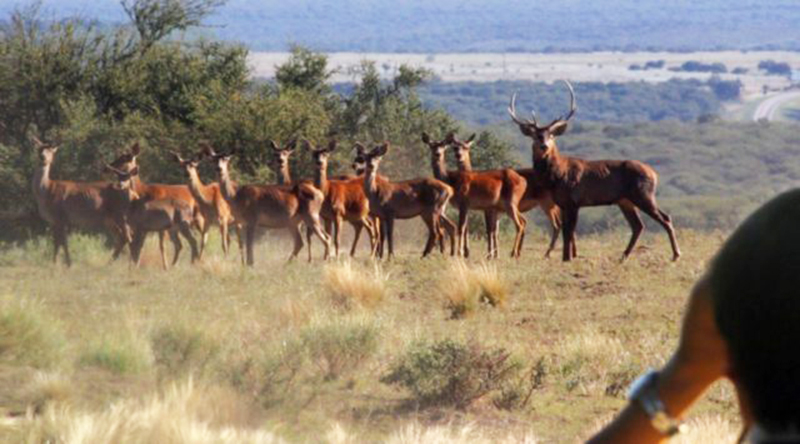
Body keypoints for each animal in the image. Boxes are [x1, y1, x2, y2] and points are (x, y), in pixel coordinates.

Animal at [30, 137, 133, 266]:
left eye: (50, 151)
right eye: (39, 149)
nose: (42, 157)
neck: (46, 191)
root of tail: (130, 193)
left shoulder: (60, 216)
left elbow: (61, 242)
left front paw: (64, 263)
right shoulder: (55, 220)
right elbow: (59, 242)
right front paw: (59, 262)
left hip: (119, 213)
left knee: (127, 236)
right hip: (109, 218)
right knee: (121, 237)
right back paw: (110, 262)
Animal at [206, 144, 334, 266]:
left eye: (226, 159)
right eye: (213, 159)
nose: (219, 168)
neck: (236, 197)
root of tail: (320, 194)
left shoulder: (252, 219)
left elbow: (249, 244)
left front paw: (250, 264)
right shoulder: (241, 222)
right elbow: (243, 243)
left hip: (311, 215)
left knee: (326, 238)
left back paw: (324, 262)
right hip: (294, 221)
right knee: (302, 241)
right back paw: (286, 265)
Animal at [512, 80, 680, 262]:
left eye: (551, 135)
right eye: (536, 136)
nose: (544, 146)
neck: (556, 177)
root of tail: (654, 174)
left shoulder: (574, 201)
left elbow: (569, 231)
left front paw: (568, 258)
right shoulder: (563, 203)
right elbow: (567, 231)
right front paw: (566, 257)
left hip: (643, 194)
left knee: (665, 218)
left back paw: (675, 255)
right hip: (625, 200)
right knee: (638, 225)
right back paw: (623, 256)